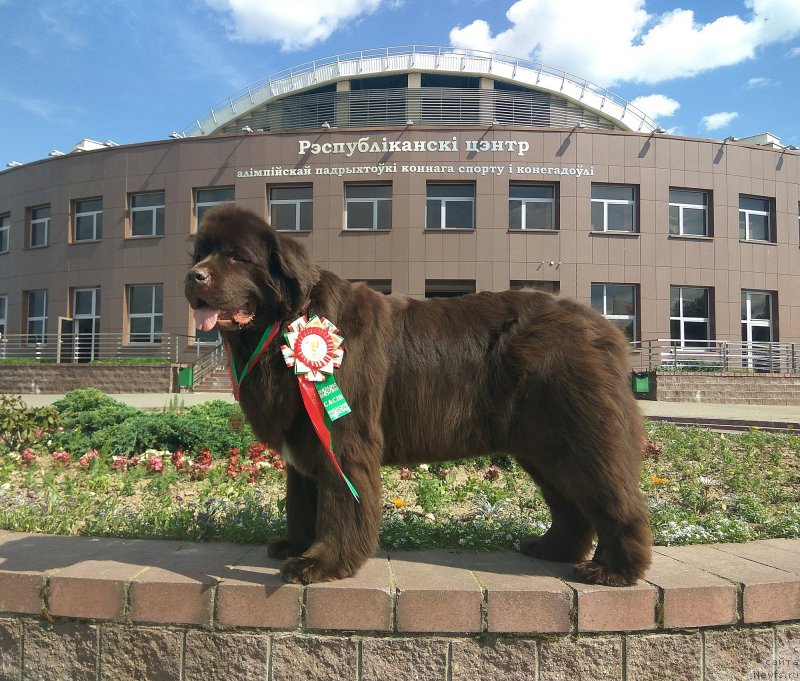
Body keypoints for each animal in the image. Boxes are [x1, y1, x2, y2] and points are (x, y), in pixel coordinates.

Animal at [186, 205, 648, 588]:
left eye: (237, 257)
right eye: (200, 255)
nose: (193, 277)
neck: (284, 326)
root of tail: (602, 327)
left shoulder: (342, 438)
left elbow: (337, 503)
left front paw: (320, 563)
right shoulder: (304, 438)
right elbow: (300, 499)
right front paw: (295, 545)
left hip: (577, 436)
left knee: (612, 499)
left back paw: (613, 570)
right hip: (541, 447)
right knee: (571, 505)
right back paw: (552, 548)